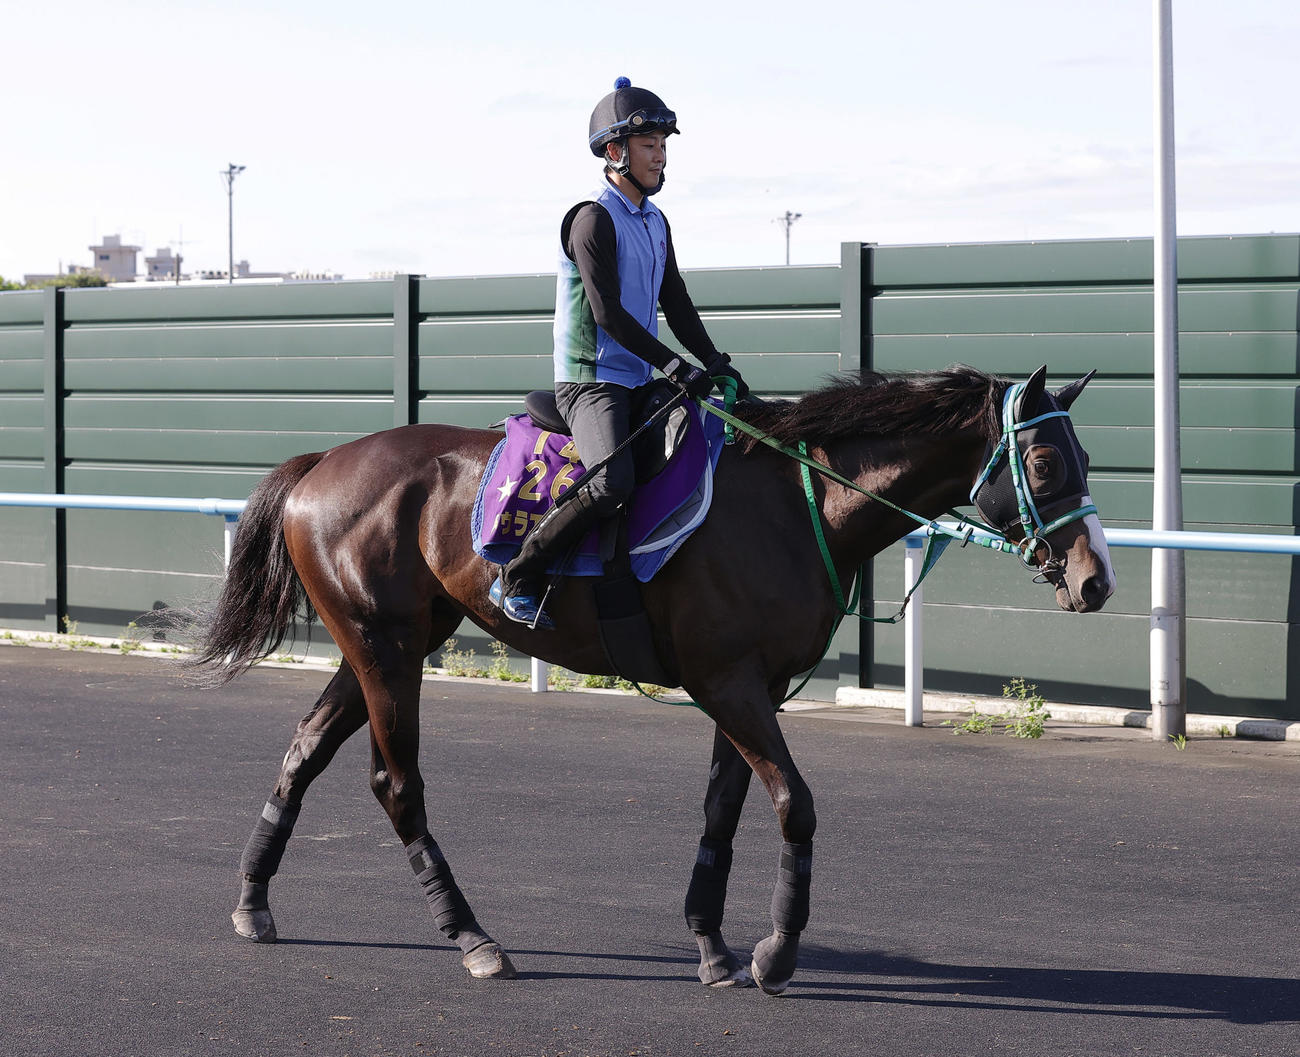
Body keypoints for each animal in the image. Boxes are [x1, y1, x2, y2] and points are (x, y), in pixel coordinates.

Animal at [188, 363, 1115, 995]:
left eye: (1083, 453)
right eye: (1042, 459)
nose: (1096, 579)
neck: (797, 501)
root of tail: (322, 463)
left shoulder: (753, 684)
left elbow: (722, 810)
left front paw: (712, 943)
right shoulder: (728, 680)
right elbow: (795, 803)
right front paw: (777, 951)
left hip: (389, 643)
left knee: (305, 750)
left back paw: (253, 899)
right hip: (384, 648)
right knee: (396, 783)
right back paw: (472, 935)